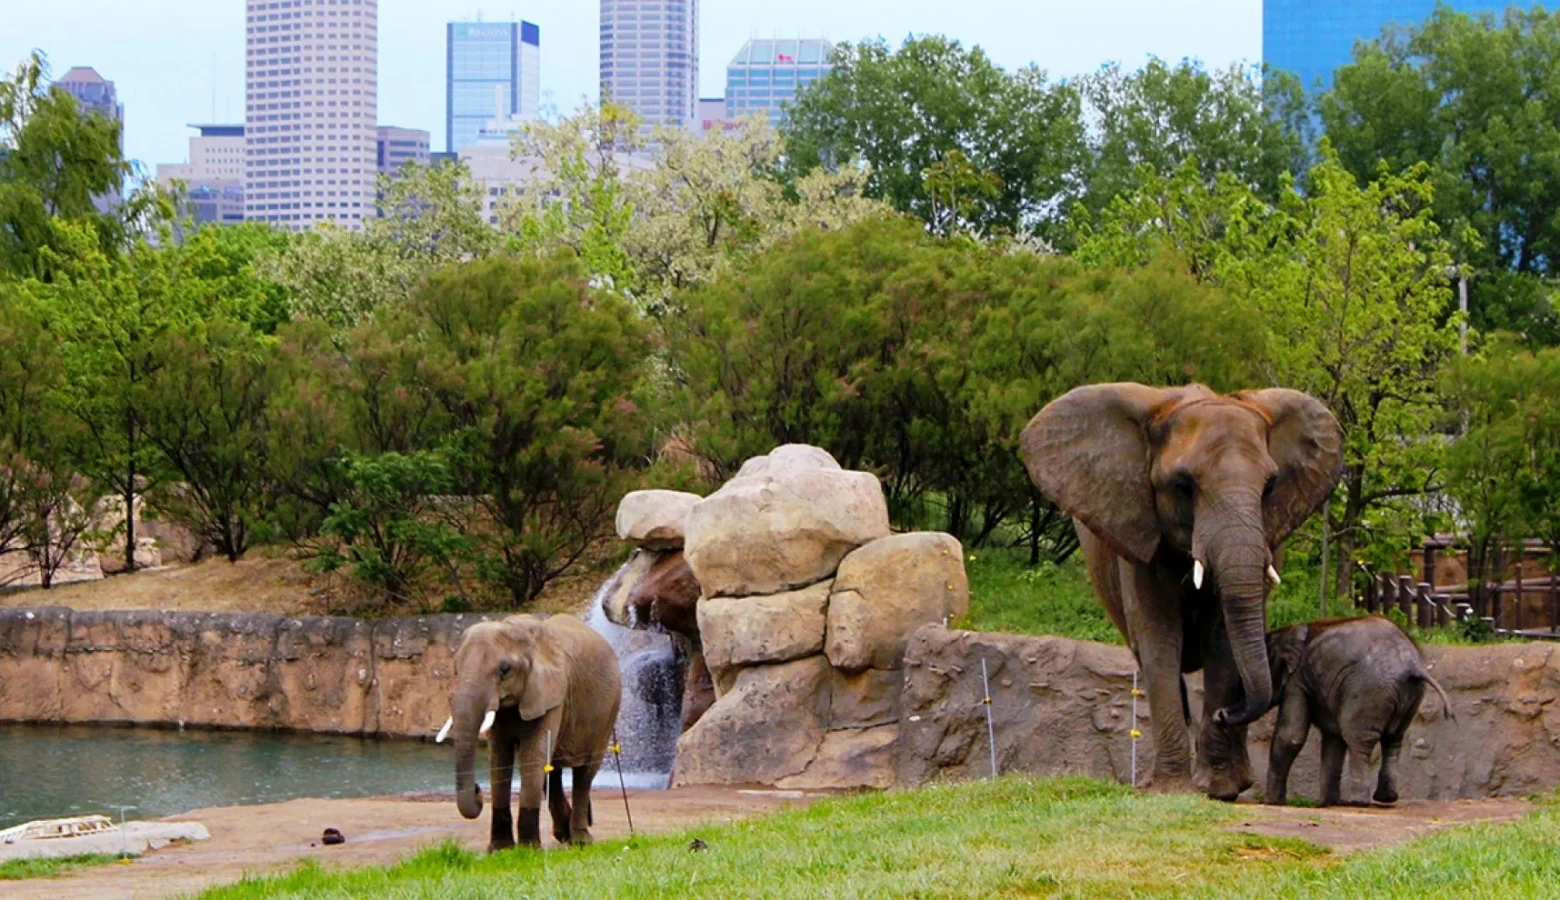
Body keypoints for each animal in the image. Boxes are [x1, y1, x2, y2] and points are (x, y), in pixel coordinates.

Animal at [437, 613, 622, 851]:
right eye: (455, 670)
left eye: (504, 670)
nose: (478, 792)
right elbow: (499, 758)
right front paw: (500, 850)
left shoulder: (551, 694)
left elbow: (532, 757)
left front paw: (529, 850)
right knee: (552, 770)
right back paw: (564, 835)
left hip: (609, 709)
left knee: (585, 772)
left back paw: (580, 841)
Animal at [1022, 383, 1342, 799]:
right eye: (1183, 486)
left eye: (1270, 486)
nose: (1224, 715)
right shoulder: (1137, 532)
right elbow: (1160, 639)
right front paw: (1171, 789)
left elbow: (1223, 641)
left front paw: (1218, 788)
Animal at [1263, 616, 1454, 807]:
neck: (1283, 634)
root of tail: (1412, 665)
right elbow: (1333, 738)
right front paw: (1326, 804)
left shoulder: (1296, 680)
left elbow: (1291, 736)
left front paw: (1272, 802)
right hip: (1409, 693)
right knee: (1393, 738)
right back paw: (1386, 797)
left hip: (1368, 689)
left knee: (1358, 739)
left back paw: (1357, 801)